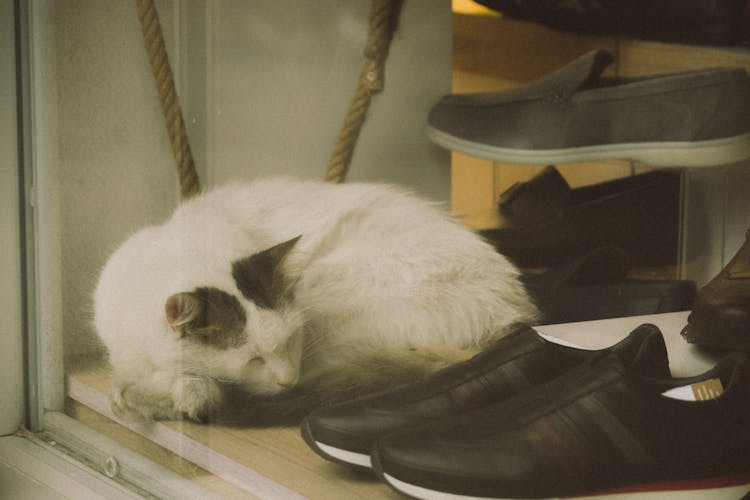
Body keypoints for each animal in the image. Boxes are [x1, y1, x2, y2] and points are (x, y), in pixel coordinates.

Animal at [95, 177, 540, 422]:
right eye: (253, 358)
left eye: (292, 340)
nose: (284, 377)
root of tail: (517, 315)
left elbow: (195, 386)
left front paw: (154, 396)